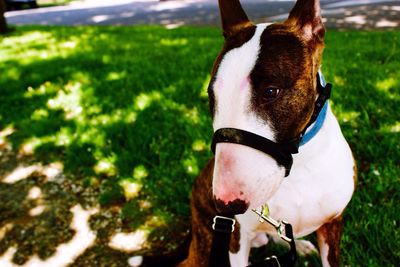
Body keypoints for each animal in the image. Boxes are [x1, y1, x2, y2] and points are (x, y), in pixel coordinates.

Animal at [180, 0, 354, 267]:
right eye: (211, 96)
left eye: (271, 91)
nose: (224, 203)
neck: (300, 165)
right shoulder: (236, 240)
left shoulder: (333, 223)